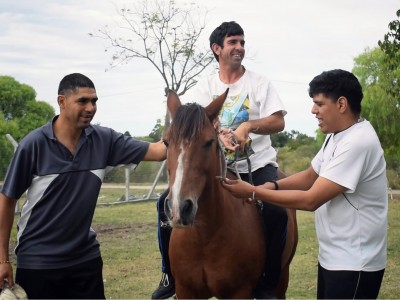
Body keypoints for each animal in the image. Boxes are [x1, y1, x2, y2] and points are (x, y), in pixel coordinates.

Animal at [164, 90, 298, 298]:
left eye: (209, 142)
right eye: (166, 142)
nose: (179, 209)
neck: (204, 237)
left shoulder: (239, 292)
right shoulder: (186, 291)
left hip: (282, 277)